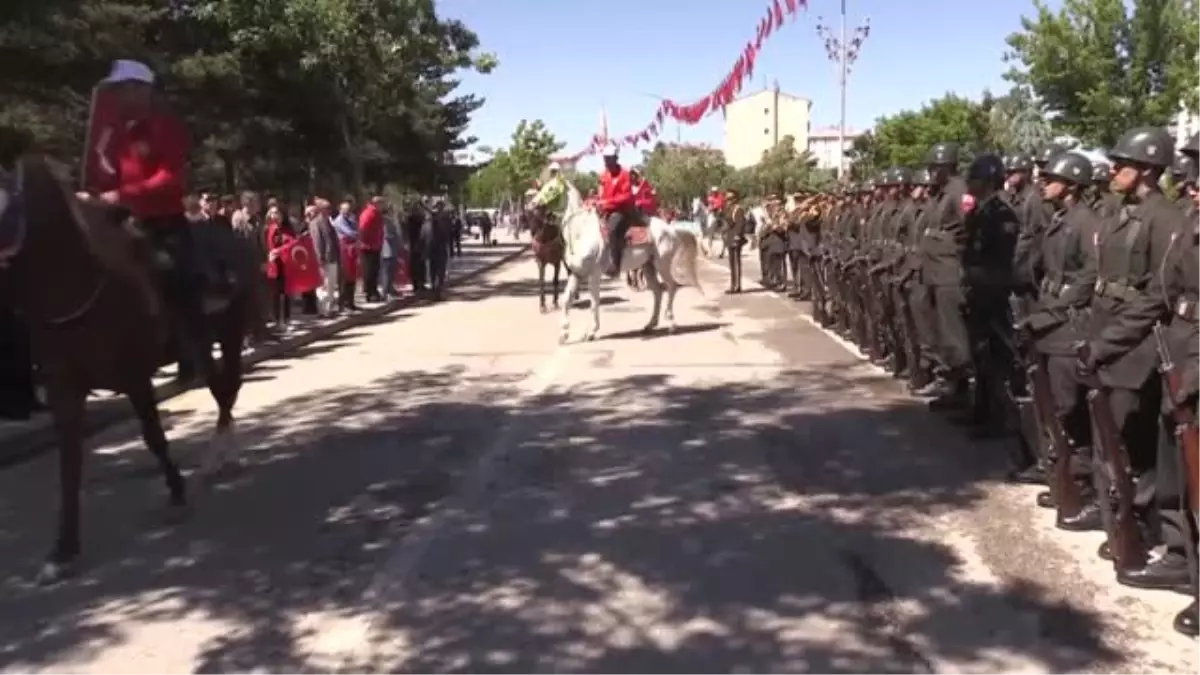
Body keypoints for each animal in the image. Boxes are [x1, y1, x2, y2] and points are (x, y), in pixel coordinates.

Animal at [0, 154, 265, 581]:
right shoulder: (64, 387)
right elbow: (69, 463)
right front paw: (63, 550)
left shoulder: (135, 374)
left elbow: (153, 436)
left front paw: (177, 493)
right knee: (221, 387)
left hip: (230, 331)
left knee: (228, 389)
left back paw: (219, 459)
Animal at [559, 181, 700, 341]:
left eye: (550, 188)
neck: (581, 233)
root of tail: (672, 230)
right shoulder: (576, 274)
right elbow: (566, 300)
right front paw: (563, 334)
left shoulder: (594, 274)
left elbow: (594, 302)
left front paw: (591, 332)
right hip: (648, 266)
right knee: (657, 291)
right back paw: (650, 325)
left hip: (662, 264)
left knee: (671, 287)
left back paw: (671, 325)